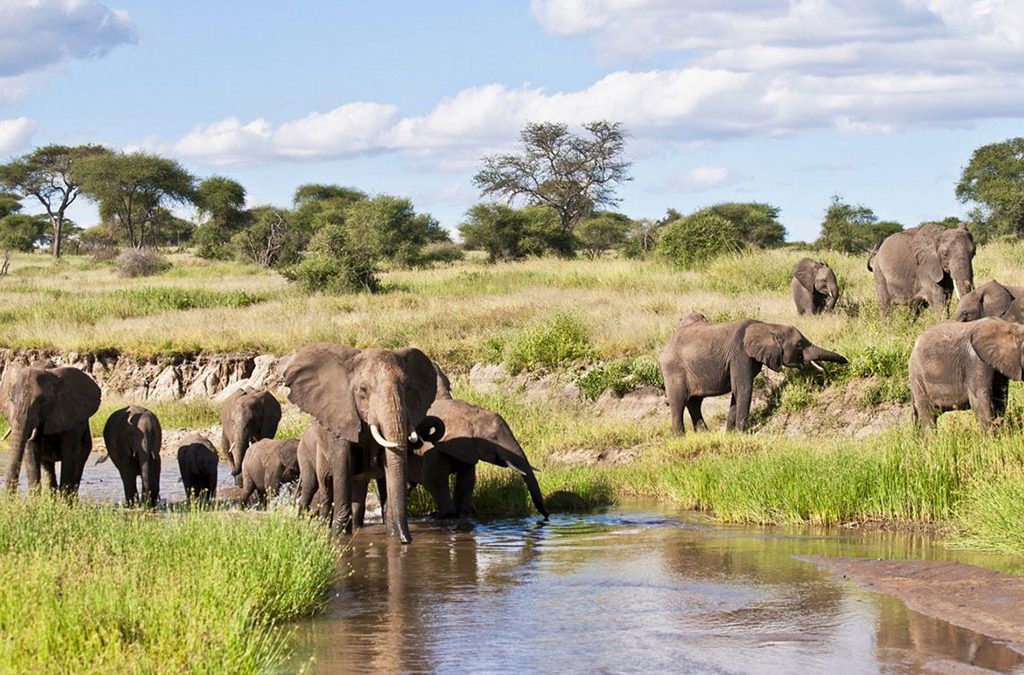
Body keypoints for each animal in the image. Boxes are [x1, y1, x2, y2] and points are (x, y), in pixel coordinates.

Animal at [1, 364, 101, 494]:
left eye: (43, 401)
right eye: (11, 400)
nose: (10, 497)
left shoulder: (70, 415)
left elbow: (70, 452)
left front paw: (64, 499)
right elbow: (31, 449)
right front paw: (35, 499)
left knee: (79, 462)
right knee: (48, 467)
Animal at [283, 344, 439, 542]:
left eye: (407, 388)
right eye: (363, 390)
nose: (407, 540)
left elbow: (388, 463)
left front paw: (393, 537)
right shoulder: (341, 417)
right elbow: (343, 464)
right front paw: (338, 536)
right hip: (307, 453)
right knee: (319, 488)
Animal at [409, 365, 548, 519]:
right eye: (493, 438)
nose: (546, 516)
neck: (467, 412)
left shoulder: (467, 448)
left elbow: (467, 481)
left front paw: (461, 515)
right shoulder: (431, 449)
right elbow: (435, 480)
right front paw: (446, 515)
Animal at [658, 314, 848, 433]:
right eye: (800, 344)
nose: (847, 361)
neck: (768, 326)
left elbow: (737, 392)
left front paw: (731, 434)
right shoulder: (740, 354)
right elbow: (743, 389)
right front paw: (742, 433)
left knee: (695, 403)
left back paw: (704, 434)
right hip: (673, 370)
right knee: (679, 403)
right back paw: (680, 437)